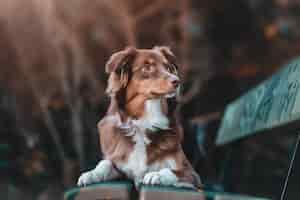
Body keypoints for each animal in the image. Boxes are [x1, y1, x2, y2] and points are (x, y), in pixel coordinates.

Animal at [77, 46, 202, 188]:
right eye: (147, 67)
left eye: (168, 67)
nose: (177, 81)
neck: (145, 121)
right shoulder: (123, 170)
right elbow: (106, 163)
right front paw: (91, 174)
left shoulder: (192, 175)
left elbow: (171, 171)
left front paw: (156, 175)